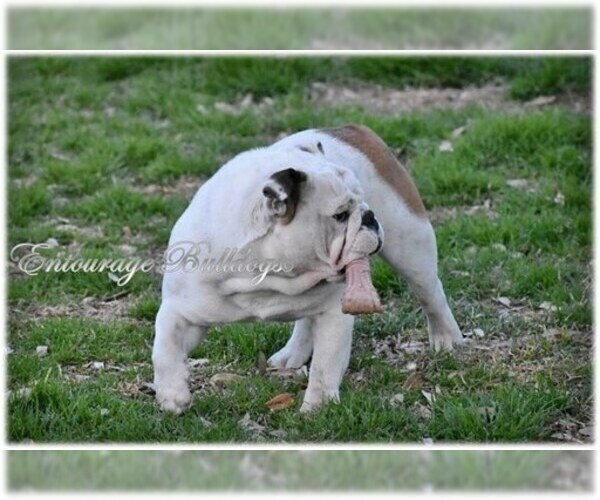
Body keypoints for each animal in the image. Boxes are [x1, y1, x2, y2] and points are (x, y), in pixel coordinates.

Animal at [152, 125, 462, 414]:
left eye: (362, 204)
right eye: (340, 215)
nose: (370, 217)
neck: (267, 272)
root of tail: (350, 129)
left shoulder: (335, 314)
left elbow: (325, 365)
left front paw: (318, 408)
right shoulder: (183, 309)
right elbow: (164, 346)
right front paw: (172, 394)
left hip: (411, 243)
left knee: (431, 293)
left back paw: (446, 338)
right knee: (306, 320)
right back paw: (293, 354)